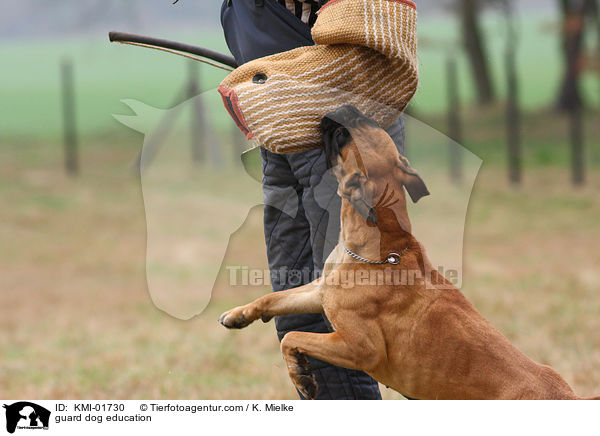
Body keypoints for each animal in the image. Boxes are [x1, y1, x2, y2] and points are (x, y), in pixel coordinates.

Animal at [218, 107, 596, 400]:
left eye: (342, 136)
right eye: (364, 122)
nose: (339, 109)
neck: (381, 248)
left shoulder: (360, 348)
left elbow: (293, 337)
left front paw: (301, 375)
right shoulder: (320, 291)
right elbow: (274, 299)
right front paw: (239, 314)